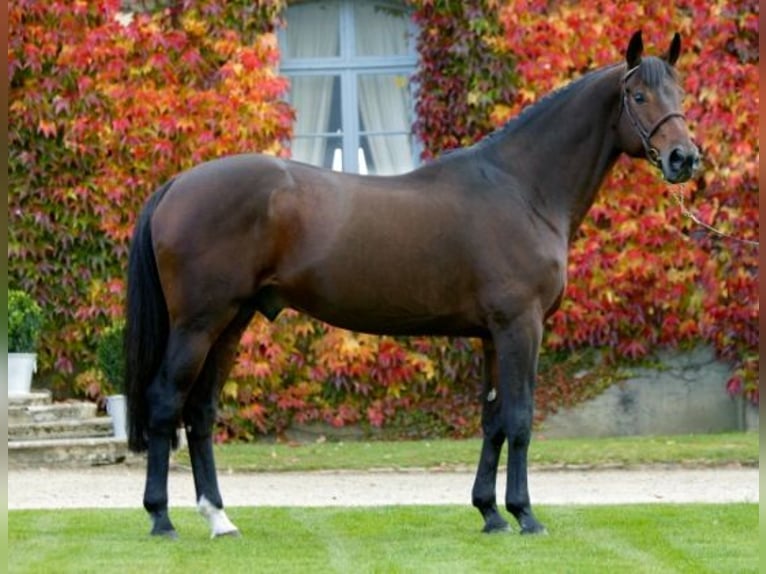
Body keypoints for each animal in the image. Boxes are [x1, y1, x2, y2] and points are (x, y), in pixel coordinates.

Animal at [124, 29, 704, 536]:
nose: (685, 158)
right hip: (199, 323)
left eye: (679, 92)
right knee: (165, 402)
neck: (522, 188)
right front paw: (525, 515)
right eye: (638, 94)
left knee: (200, 411)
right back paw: (161, 518)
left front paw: (490, 513)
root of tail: (177, 183)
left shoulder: (492, 335)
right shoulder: (521, 327)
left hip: (232, 321)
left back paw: (219, 518)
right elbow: (519, 418)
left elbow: (493, 420)